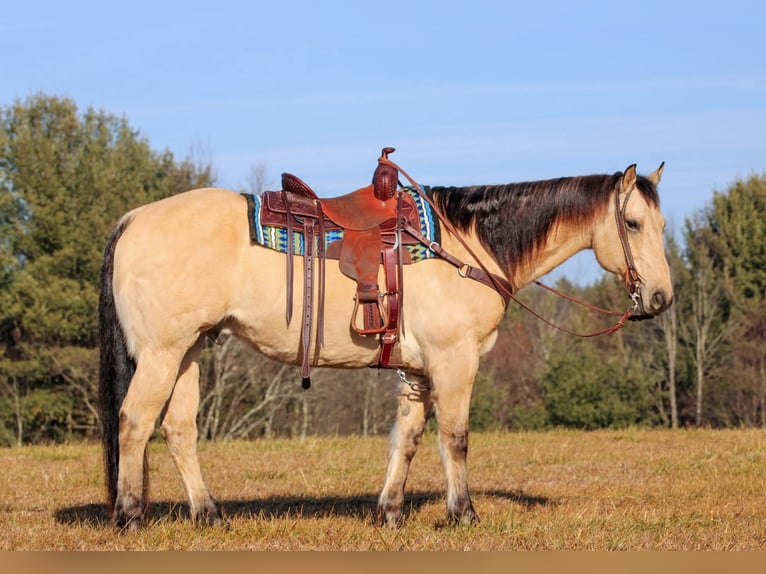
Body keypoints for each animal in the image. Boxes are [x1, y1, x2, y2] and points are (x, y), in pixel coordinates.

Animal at [98, 160, 672, 530]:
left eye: (663, 224)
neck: (468, 244)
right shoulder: (453, 362)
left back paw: (209, 515)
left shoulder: (417, 370)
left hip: (188, 352)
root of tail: (132, 219)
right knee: (134, 422)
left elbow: (409, 438)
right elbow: (455, 438)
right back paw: (130, 517)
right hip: (161, 354)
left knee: (177, 431)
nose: (661, 298)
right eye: (632, 223)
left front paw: (390, 512)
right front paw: (463, 515)